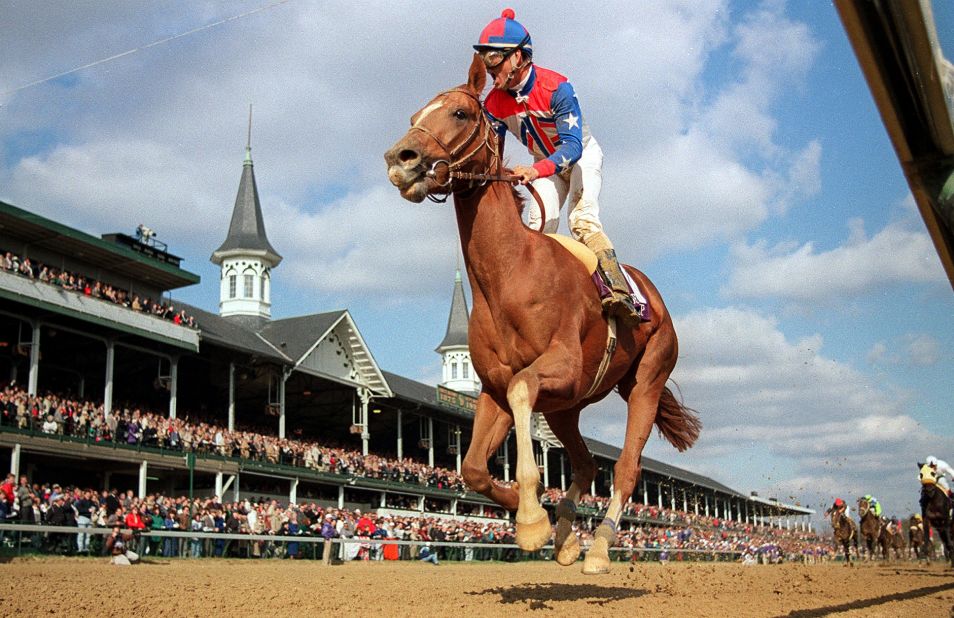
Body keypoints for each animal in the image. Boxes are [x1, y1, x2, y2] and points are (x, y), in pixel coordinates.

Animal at [384, 55, 700, 572]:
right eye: (414, 115)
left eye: (459, 113)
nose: (399, 160)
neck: (509, 275)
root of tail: (655, 298)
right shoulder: (493, 388)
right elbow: (473, 467)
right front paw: (540, 520)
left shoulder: (561, 365)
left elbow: (521, 390)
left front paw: (534, 521)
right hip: (567, 407)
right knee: (588, 463)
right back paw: (571, 536)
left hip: (647, 381)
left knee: (625, 469)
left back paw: (599, 547)